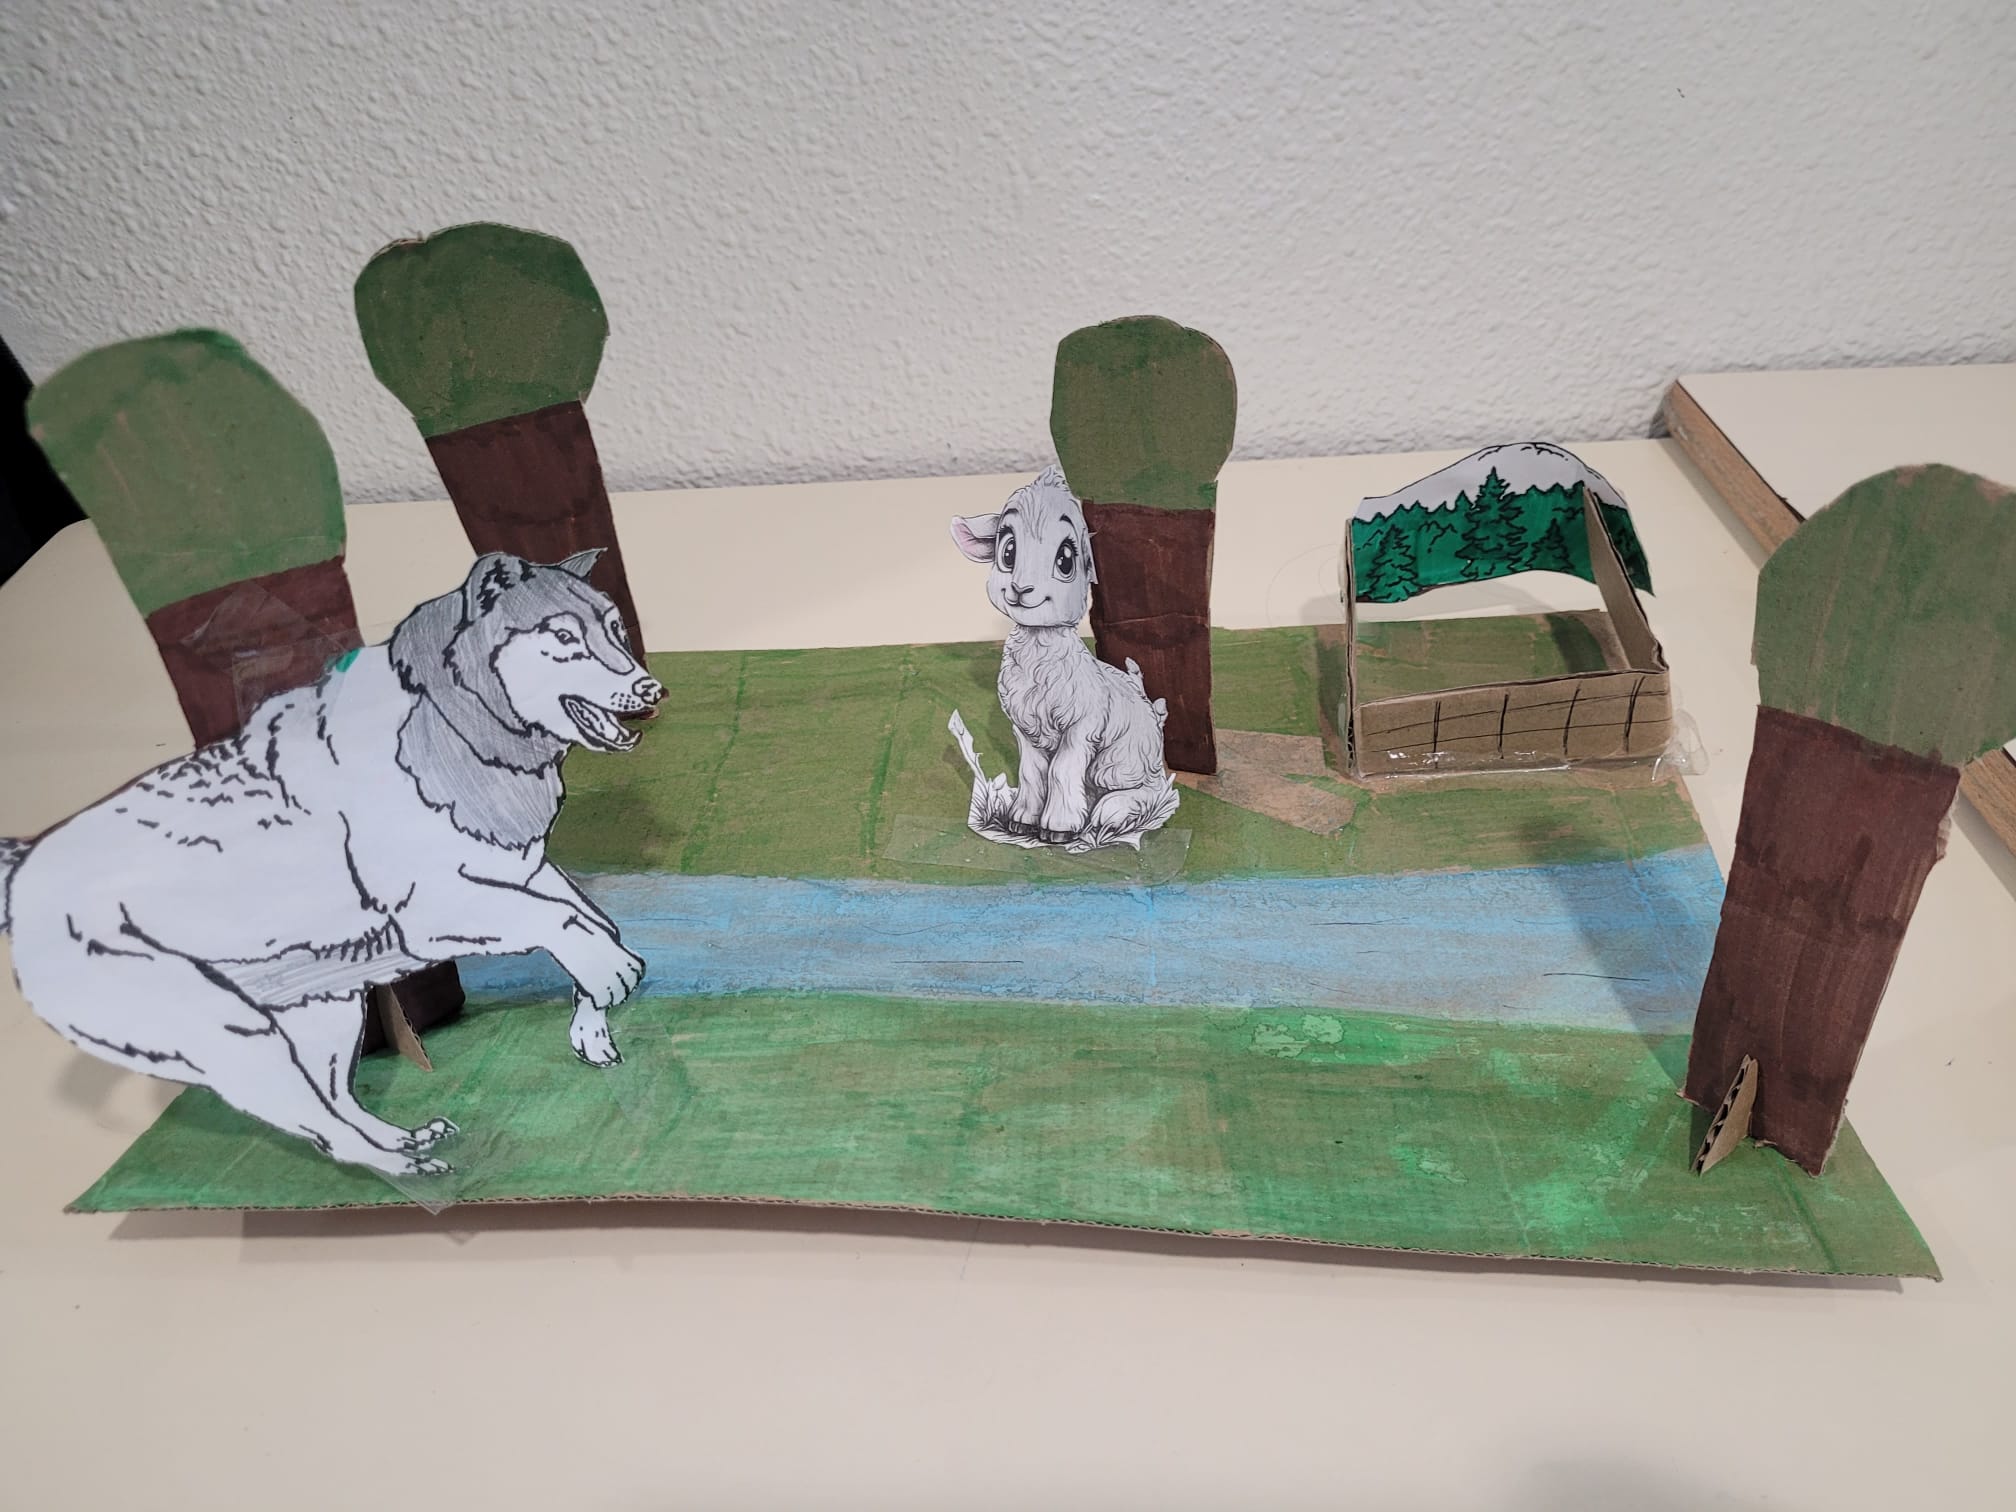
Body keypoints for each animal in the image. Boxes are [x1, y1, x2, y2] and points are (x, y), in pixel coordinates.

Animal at [950, 466, 1178, 849]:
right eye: (1008, 551)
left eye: (1066, 559)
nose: (1020, 589)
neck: (1039, 654)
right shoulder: (1024, 730)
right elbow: (1031, 771)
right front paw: (1022, 820)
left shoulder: (1082, 727)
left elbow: (1060, 770)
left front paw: (1059, 829)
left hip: (1120, 764)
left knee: (1148, 790)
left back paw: (1110, 812)